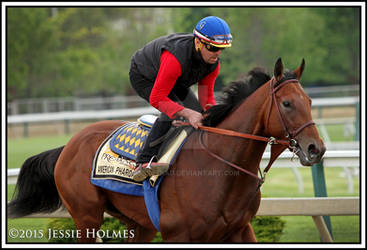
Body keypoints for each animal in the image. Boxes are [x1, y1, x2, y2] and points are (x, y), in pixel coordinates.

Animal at [7, 58, 324, 242]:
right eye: (287, 104)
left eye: (309, 100)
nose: (316, 149)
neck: (222, 168)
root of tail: (68, 144)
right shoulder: (180, 234)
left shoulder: (239, 229)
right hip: (86, 217)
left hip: (138, 223)